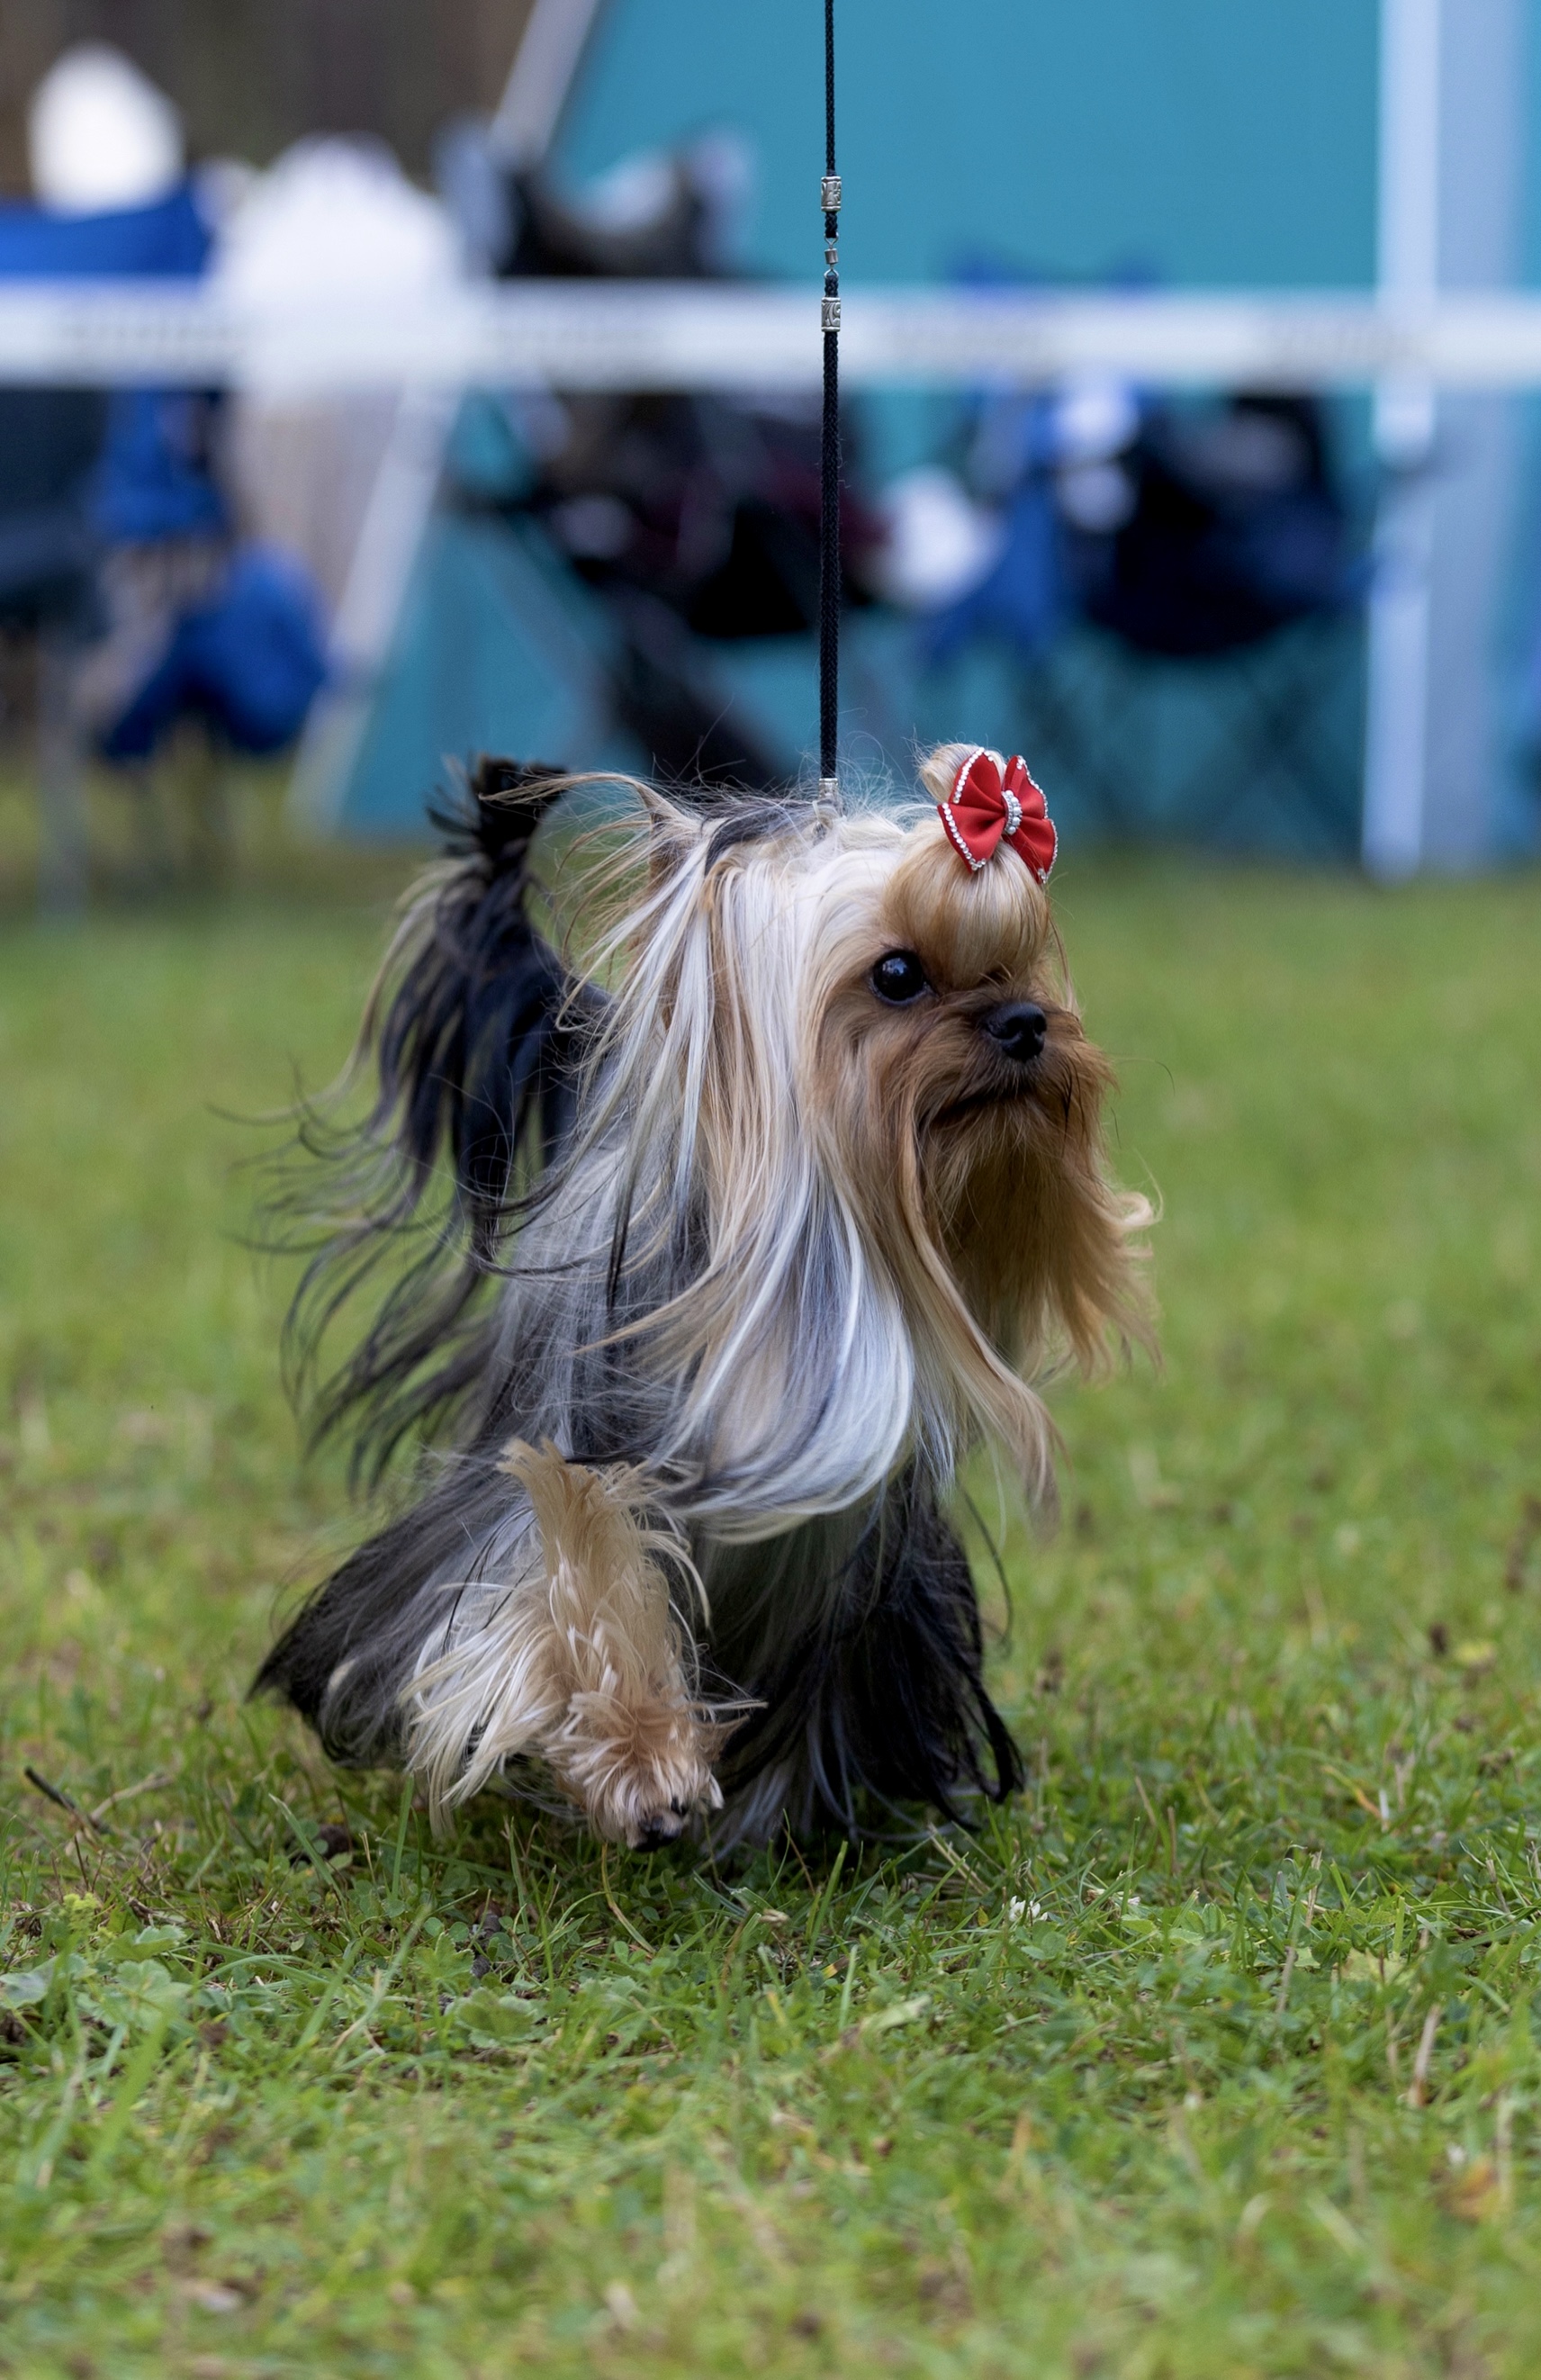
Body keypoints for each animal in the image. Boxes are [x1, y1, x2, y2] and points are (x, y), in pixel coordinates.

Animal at [256, 742, 1141, 1837]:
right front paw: (642, 1759)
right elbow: (574, 1578)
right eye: (897, 975)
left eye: (1018, 964)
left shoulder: (859, 1571)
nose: (1028, 1022)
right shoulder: (556, 1473)